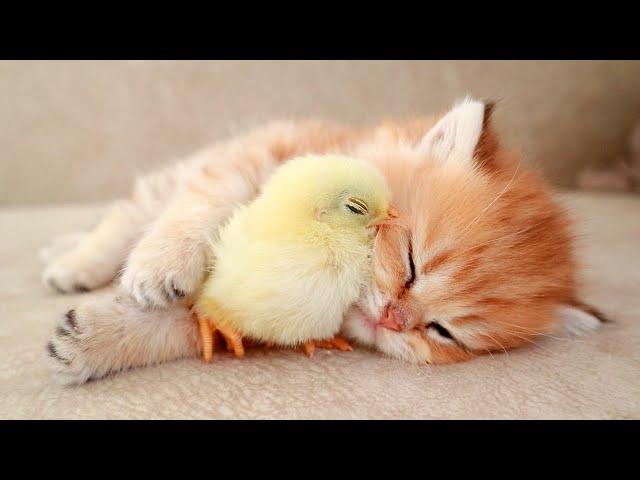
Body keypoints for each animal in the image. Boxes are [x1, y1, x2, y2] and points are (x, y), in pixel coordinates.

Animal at [41, 98, 604, 386]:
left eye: (443, 332)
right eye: (411, 262)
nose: (392, 320)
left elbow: (187, 328)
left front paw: (94, 343)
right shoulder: (256, 160)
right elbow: (205, 202)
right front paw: (163, 263)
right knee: (131, 212)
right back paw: (73, 260)